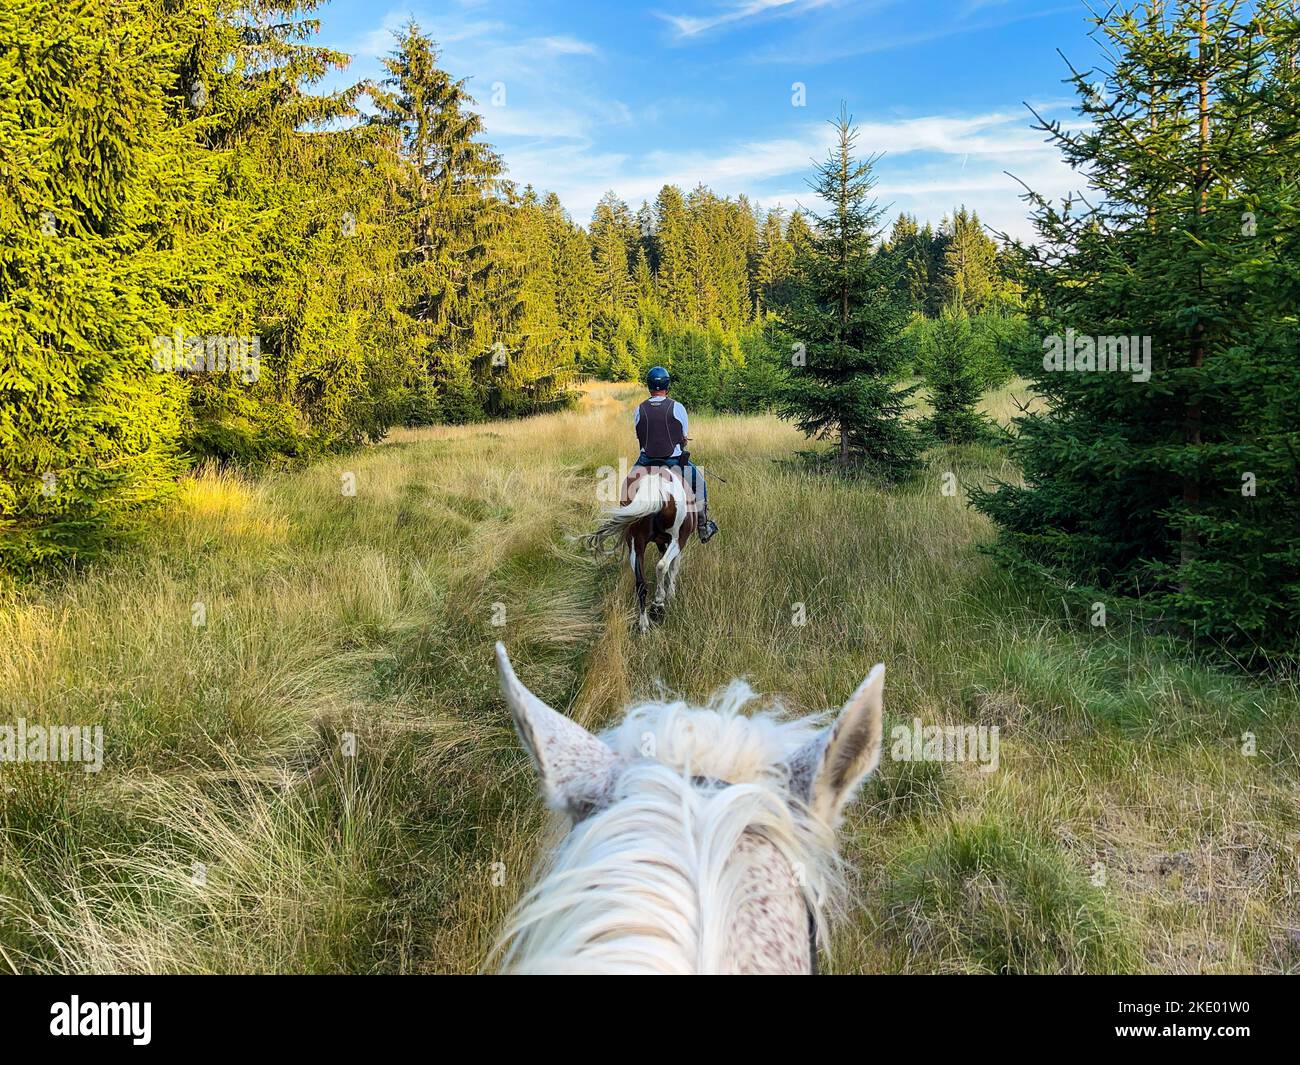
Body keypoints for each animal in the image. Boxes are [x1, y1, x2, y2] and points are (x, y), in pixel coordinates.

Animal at [584, 463, 697, 633]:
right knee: (661, 566)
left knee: (641, 584)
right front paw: (670, 594)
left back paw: (644, 623)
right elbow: (673, 567)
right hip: (676, 539)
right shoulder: (679, 541)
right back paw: (658, 604)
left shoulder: (660, 542)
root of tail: (653, 485)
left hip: (636, 544)